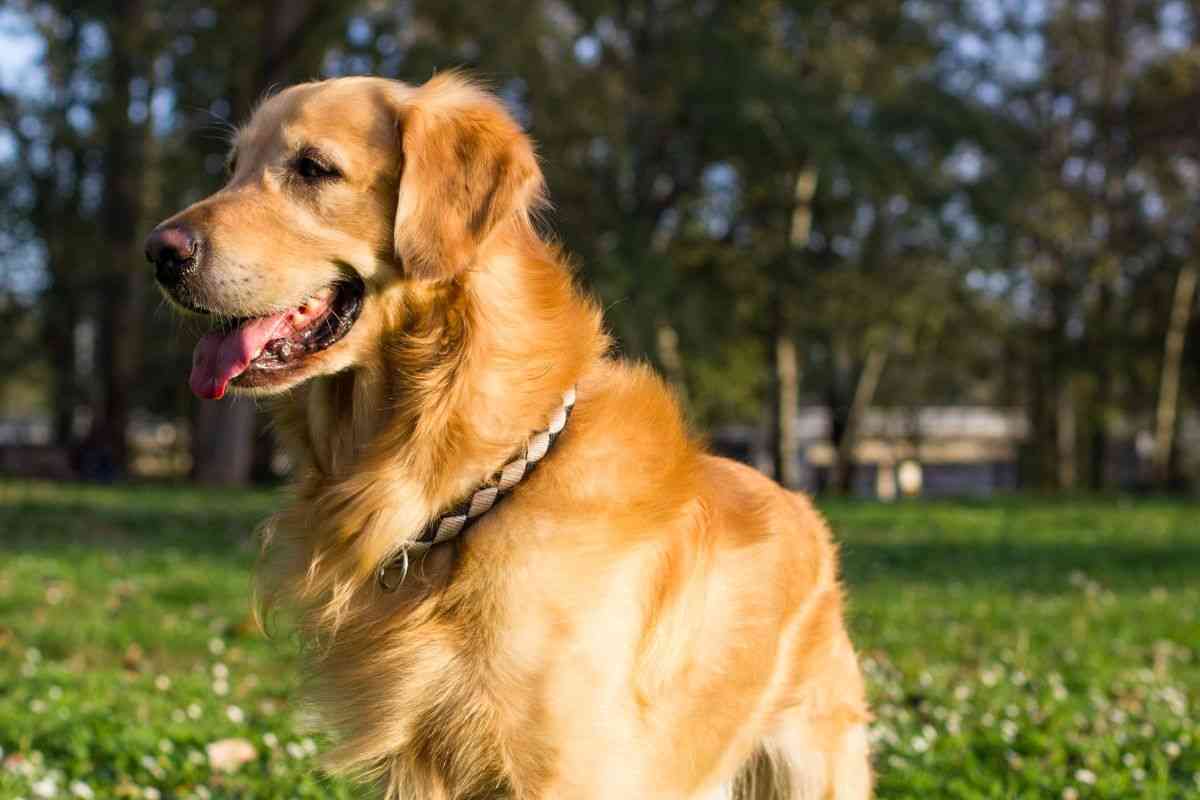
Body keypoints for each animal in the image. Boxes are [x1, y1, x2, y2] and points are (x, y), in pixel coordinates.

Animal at [145, 71, 868, 796]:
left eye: (313, 168)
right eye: (232, 168)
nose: (158, 253)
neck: (468, 482)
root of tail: (806, 511)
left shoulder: (565, 769)